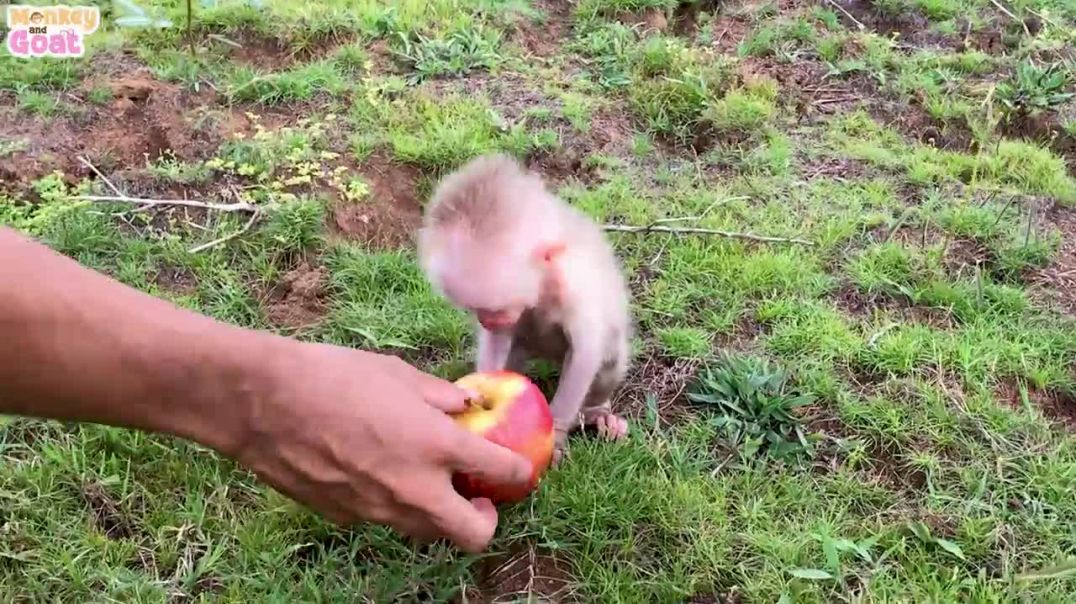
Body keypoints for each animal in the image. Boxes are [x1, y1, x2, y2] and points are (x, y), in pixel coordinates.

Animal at [417, 153, 632, 464]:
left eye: (493, 309)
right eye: (474, 309)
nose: (486, 322)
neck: (543, 289)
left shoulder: (577, 291)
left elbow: (585, 356)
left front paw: (556, 435)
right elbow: (498, 343)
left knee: (608, 363)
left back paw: (598, 413)